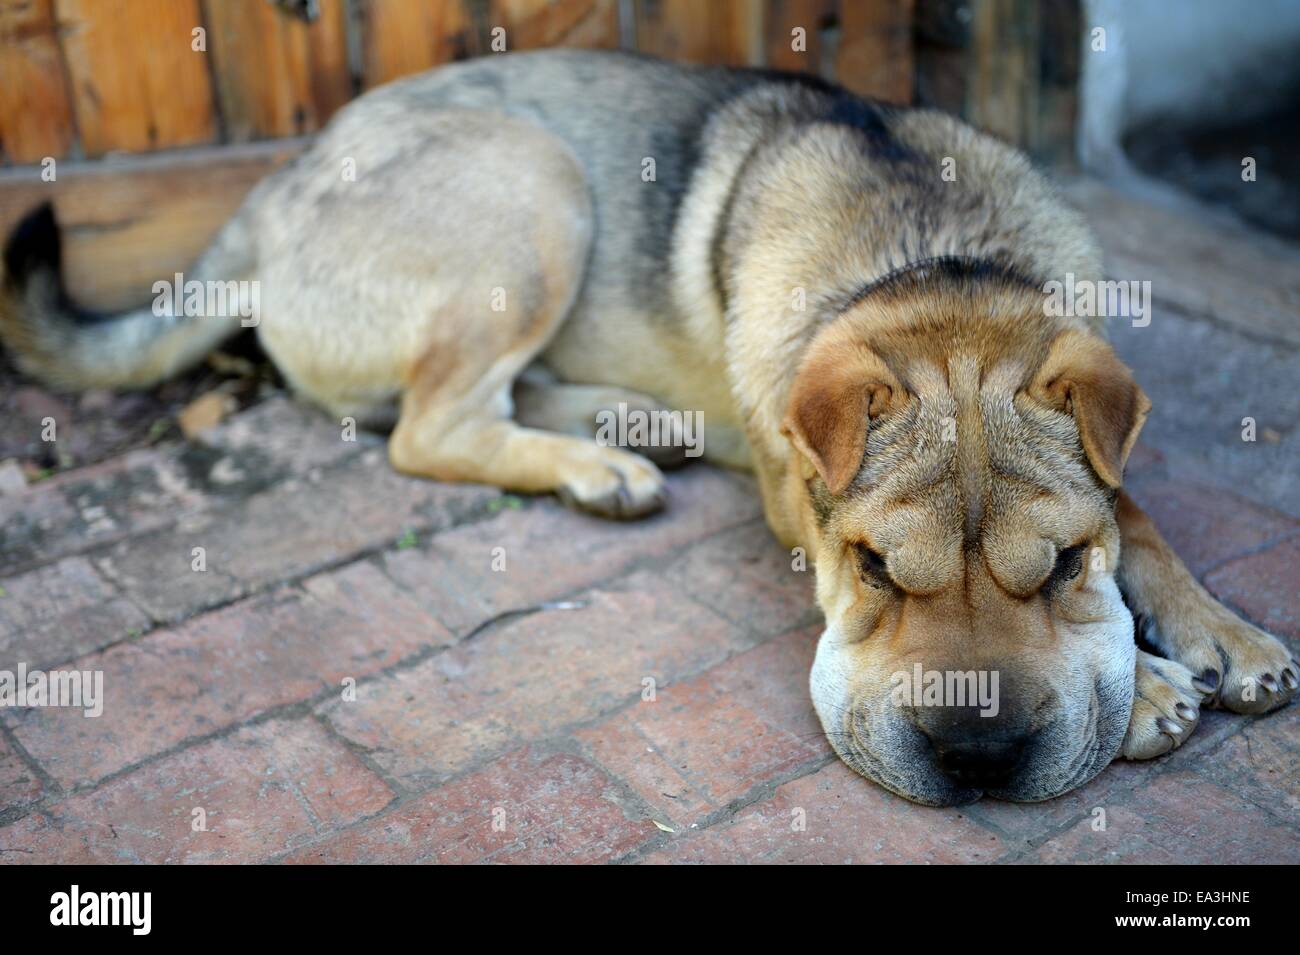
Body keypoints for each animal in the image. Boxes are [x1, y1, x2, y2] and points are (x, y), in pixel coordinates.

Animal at [0, 48, 1294, 805]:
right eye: (872, 567)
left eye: (1066, 564)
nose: (975, 760)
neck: (931, 257)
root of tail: (270, 188)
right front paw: (1152, 684)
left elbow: (1139, 509)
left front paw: (1215, 629)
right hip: (533, 184)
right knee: (429, 424)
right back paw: (599, 464)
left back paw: (637, 425)